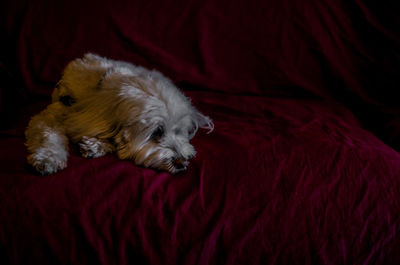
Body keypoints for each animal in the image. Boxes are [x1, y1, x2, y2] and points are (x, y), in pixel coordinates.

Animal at [24, 52, 212, 174]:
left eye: (179, 132)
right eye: (156, 133)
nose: (182, 162)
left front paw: (95, 145)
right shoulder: (54, 114)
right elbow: (47, 134)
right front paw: (48, 158)